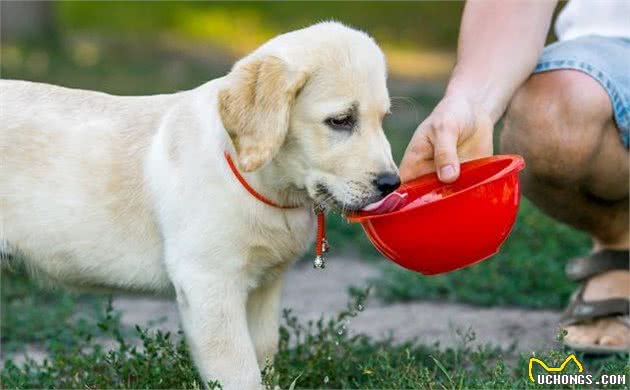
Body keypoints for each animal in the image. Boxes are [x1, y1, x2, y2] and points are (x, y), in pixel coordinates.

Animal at [0, 22, 400, 388]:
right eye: (341, 120)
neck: (260, 182)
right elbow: (240, 372)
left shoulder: (265, 286)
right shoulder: (209, 282)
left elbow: (264, 354)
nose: (391, 184)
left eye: (383, 119)